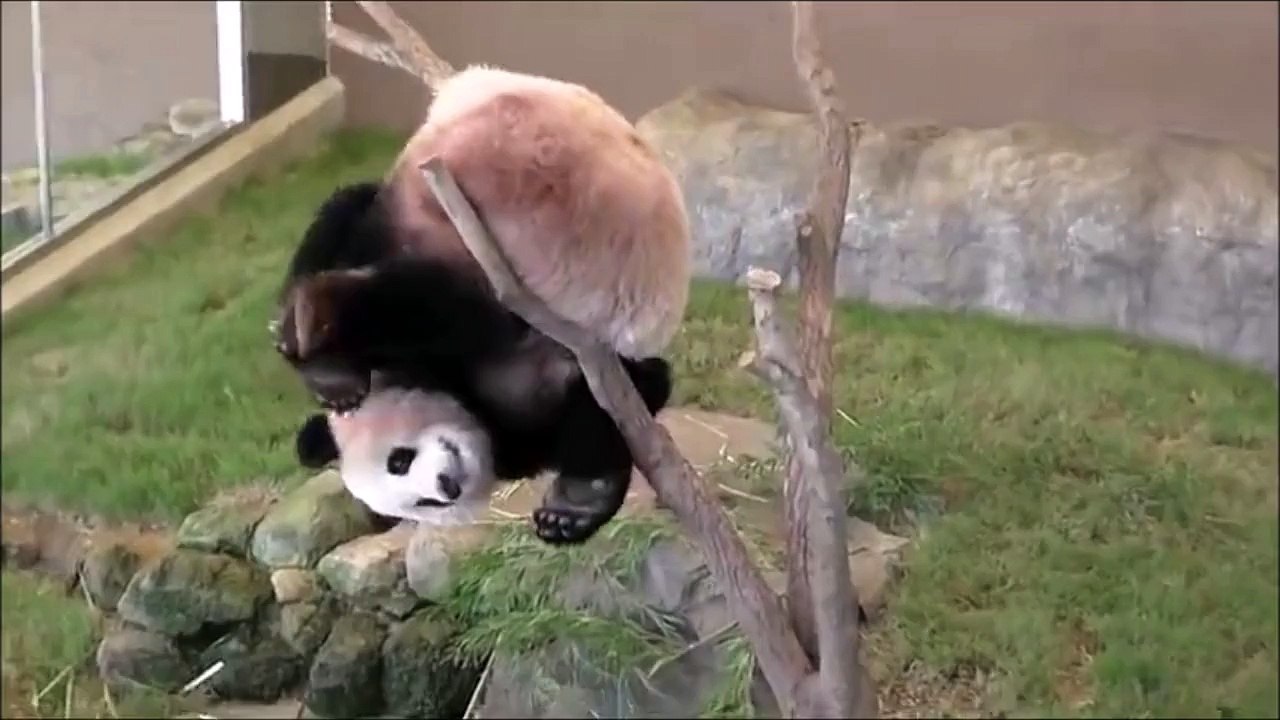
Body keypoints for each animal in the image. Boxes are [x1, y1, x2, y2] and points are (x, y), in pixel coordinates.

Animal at [272, 65, 691, 546]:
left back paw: (322, 332)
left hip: (527, 226)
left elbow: (616, 397)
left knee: (446, 301)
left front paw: (577, 505)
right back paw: (324, 353)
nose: (447, 487)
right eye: (423, 504)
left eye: (399, 460)